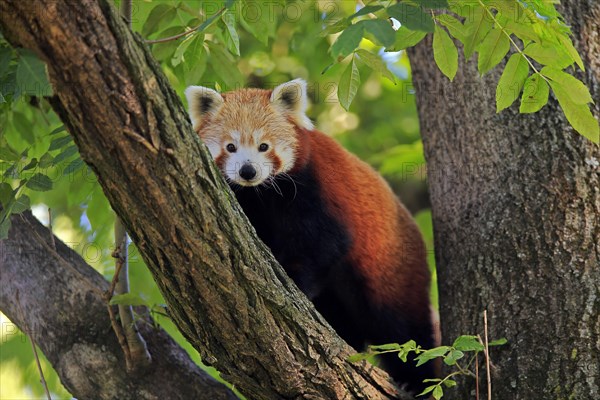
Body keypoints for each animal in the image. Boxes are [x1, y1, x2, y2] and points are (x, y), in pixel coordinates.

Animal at [185, 79, 434, 394]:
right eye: (230, 147)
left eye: (264, 146)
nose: (248, 171)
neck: (261, 194)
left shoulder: (316, 188)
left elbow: (324, 242)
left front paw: (295, 280)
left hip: (391, 270)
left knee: (403, 328)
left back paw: (415, 382)